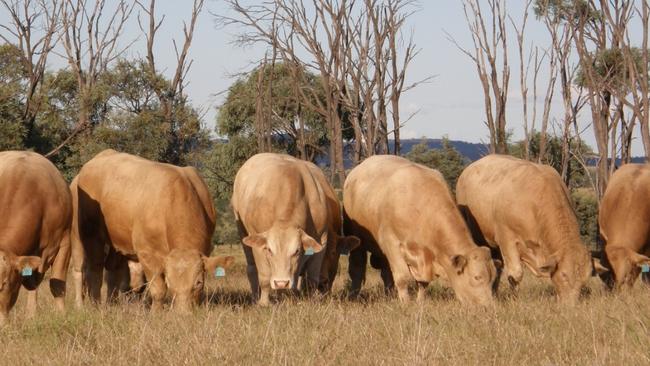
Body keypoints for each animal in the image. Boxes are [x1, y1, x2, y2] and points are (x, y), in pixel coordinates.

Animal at [70, 149, 233, 312]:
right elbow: (158, 289)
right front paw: (156, 313)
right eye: (169, 282)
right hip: (86, 235)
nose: (183, 314)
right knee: (89, 269)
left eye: (198, 282)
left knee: (112, 270)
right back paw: (88, 305)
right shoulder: (147, 254)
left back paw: (112, 303)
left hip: (117, 241)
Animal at [230, 152, 356, 306]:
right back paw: (256, 297)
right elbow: (264, 277)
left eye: (296, 251)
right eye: (270, 250)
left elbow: (311, 276)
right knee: (252, 268)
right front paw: (264, 303)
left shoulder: (321, 239)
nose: (281, 283)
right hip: (243, 232)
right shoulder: (258, 241)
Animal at [342, 154, 494, 304]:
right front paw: (406, 303)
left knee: (385, 272)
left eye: (492, 277)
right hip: (357, 240)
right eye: (477, 277)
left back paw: (389, 295)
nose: (488, 306)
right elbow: (402, 277)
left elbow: (423, 282)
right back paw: (353, 296)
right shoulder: (391, 243)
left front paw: (420, 302)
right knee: (357, 270)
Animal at [456, 153, 592, 304]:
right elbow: (515, 274)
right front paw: (514, 299)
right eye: (564, 275)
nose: (570, 305)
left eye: (584, 281)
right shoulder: (506, 238)